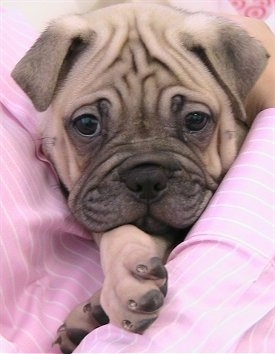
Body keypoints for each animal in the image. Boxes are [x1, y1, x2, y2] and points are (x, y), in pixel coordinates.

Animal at [11, 2, 270, 352]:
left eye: (196, 120)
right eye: (87, 124)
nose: (147, 177)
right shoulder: (94, 205)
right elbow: (117, 232)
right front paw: (124, 281)